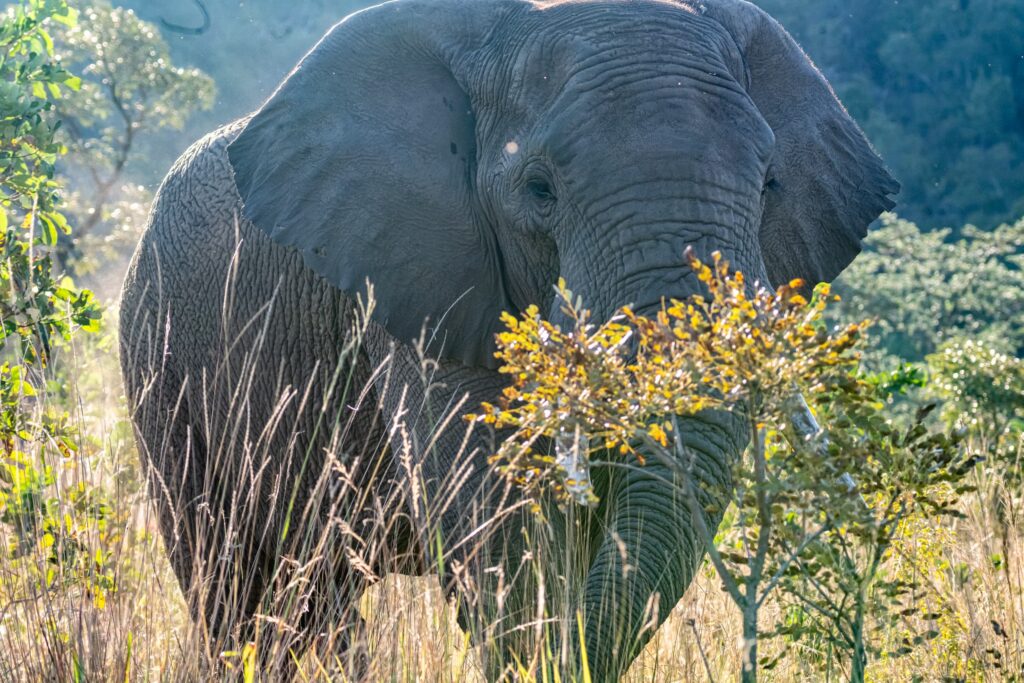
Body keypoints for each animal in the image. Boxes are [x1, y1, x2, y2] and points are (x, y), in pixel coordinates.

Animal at [119, 0, 897, 679]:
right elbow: (499, 516)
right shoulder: (412, 280)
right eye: (539, 189)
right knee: (241, 584)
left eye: (768, 186)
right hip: (160, 359)